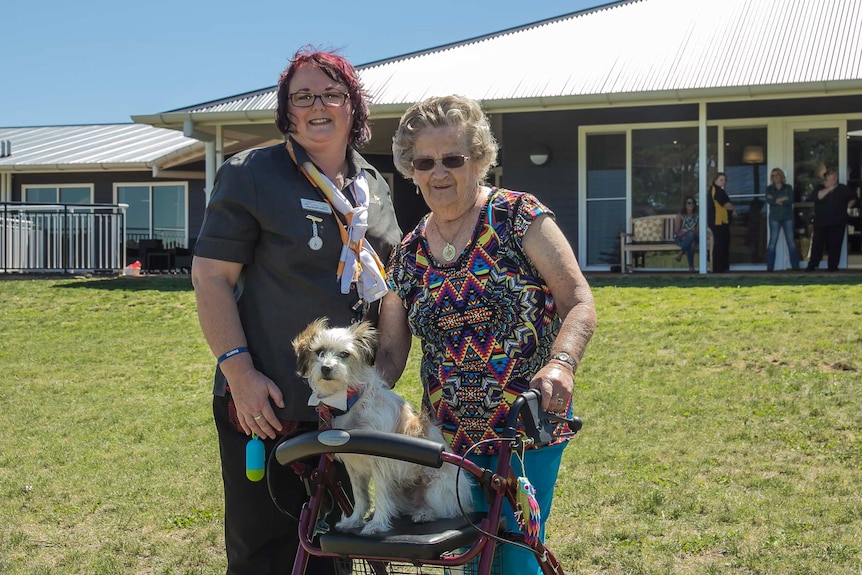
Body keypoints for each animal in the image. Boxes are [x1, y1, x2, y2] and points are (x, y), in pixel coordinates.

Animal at [294, 316, 476, 536]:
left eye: (345, 354)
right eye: (319, 351)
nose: (326, 368)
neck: (349, 402)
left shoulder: (381, 466)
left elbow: (380, 496)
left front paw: (377, 524)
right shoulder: (353, 466)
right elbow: (360, 495)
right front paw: (355, 519)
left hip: (434, 489)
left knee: (448, 510)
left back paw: (426, 514)